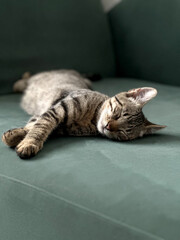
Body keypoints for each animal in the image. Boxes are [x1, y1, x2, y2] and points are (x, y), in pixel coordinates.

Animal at [1, 69, 166, 159]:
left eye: (122, 132)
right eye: (118, 114)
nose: (108, 126)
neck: (91, 119)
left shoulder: (59, 125)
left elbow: (36, 125)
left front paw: (16, 137)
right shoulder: (58, 108)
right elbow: (39, 126)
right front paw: (28, 142)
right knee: (24, 80)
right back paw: (24, 77)